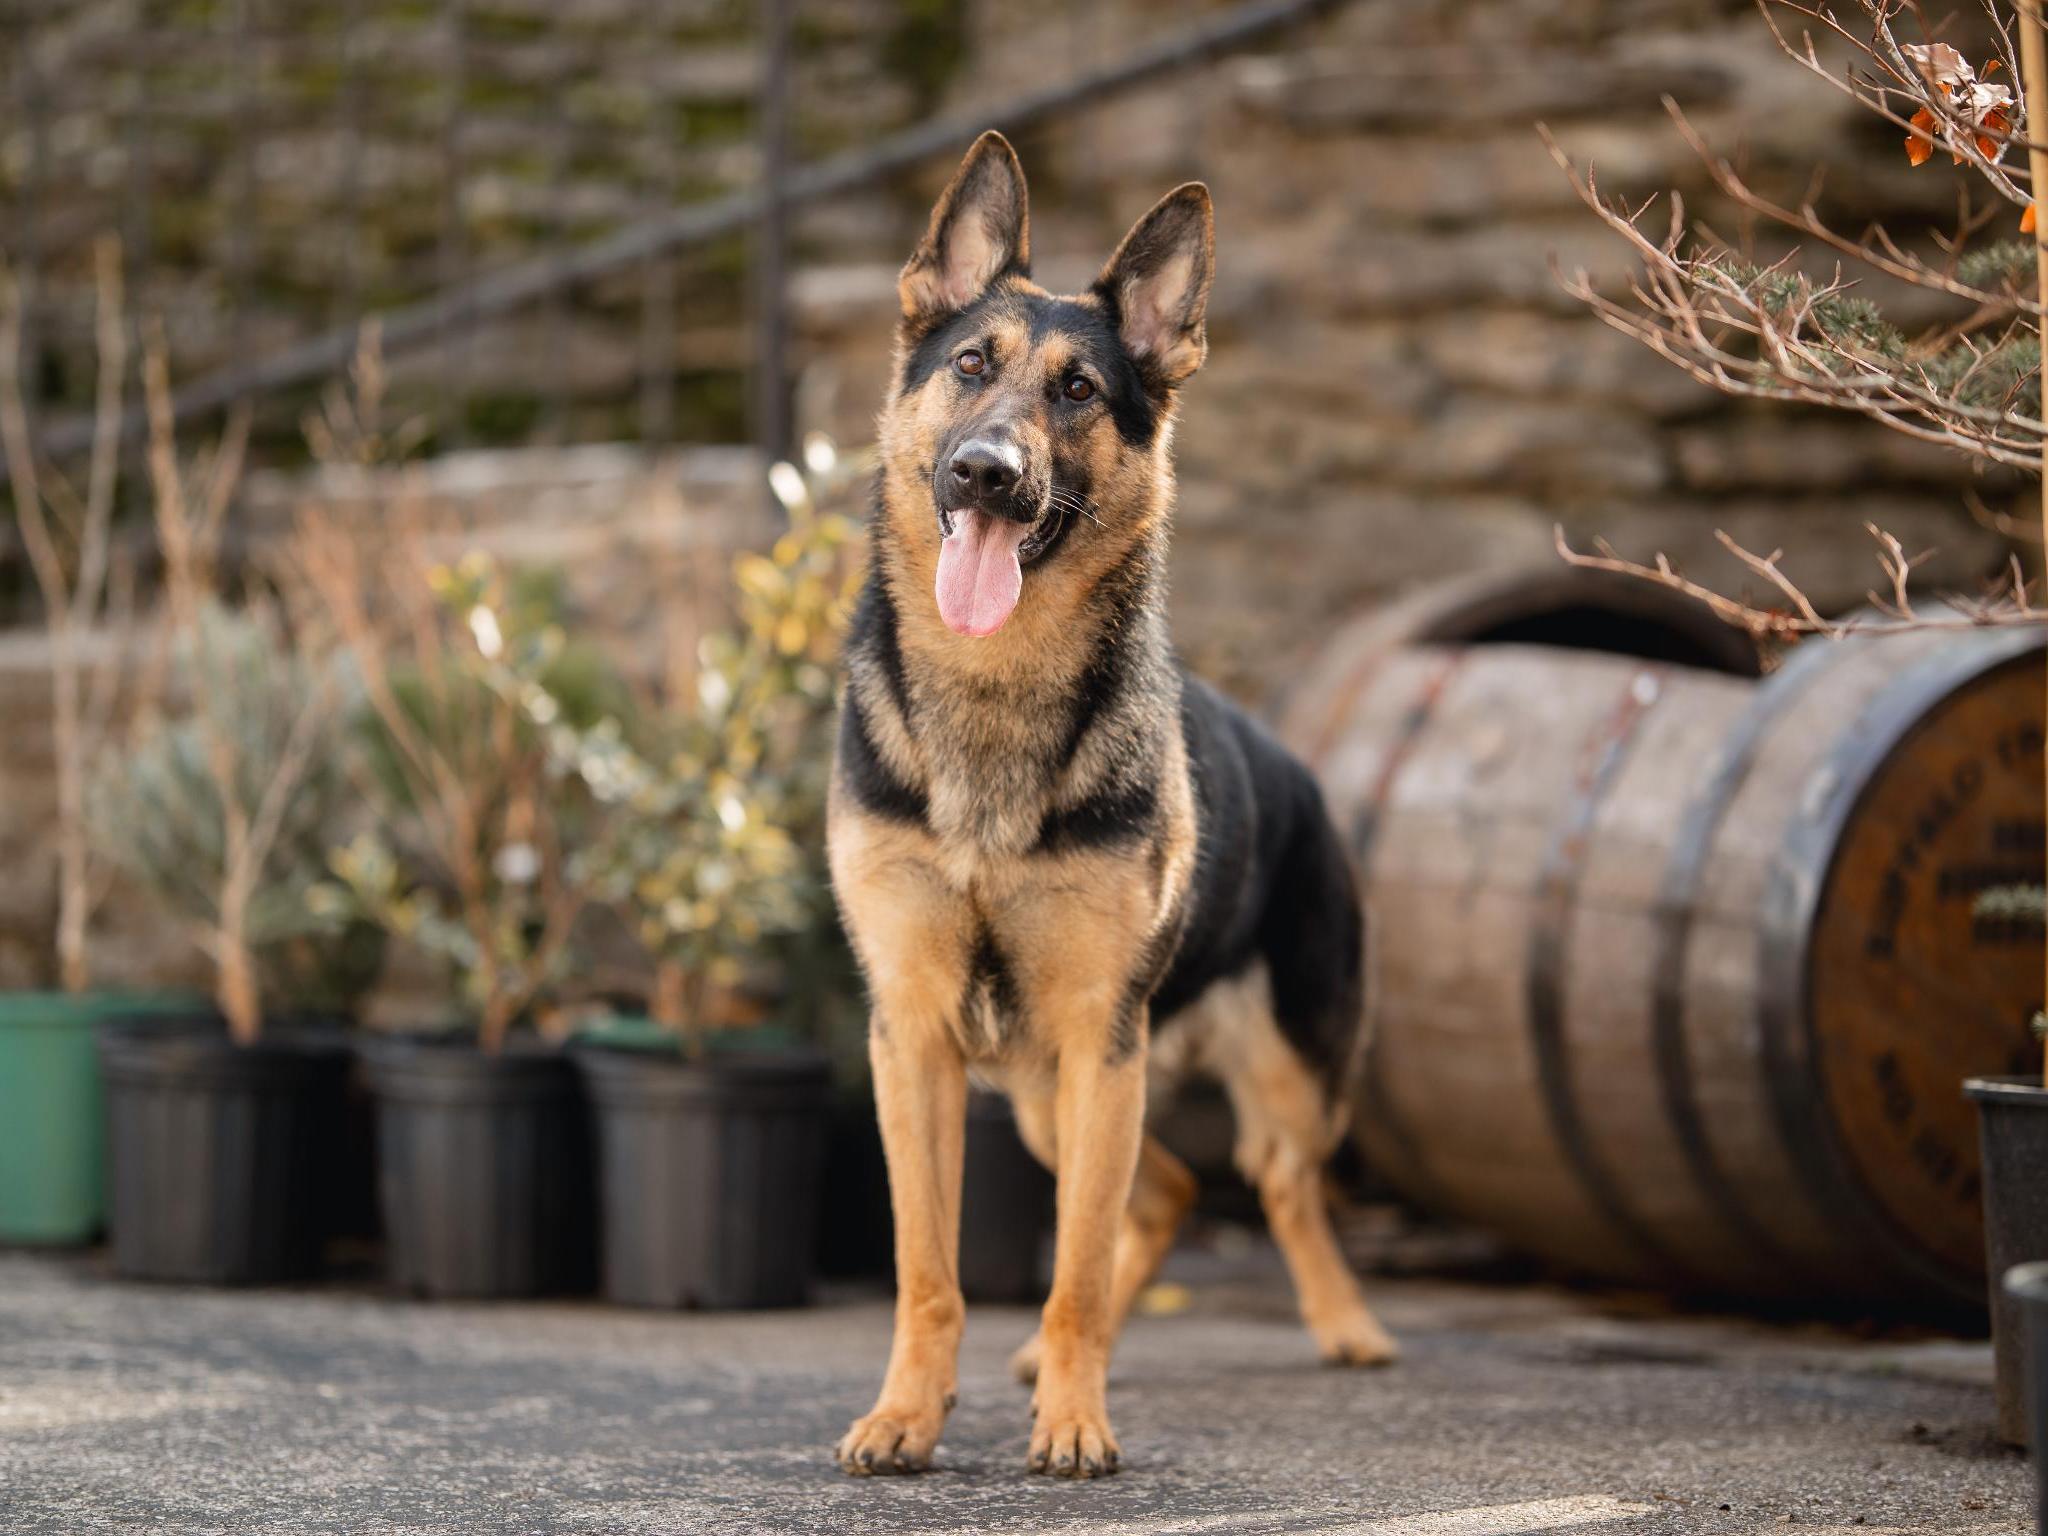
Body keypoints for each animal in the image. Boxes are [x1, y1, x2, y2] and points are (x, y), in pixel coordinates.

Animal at [827, 138, 1392, 1482]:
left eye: (1079, 389)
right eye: (969, 367)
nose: (987, 473)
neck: (990, 693)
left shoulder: (1097, 1037)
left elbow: (1075, 1268)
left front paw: (1076, 1423)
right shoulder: (914, 1040)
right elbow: (927, 1268)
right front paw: (909, 1412)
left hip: (1273, 1067)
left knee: (1278, 1180)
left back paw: (1342, 1323)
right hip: (1043, 1097)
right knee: (1175, 1192)